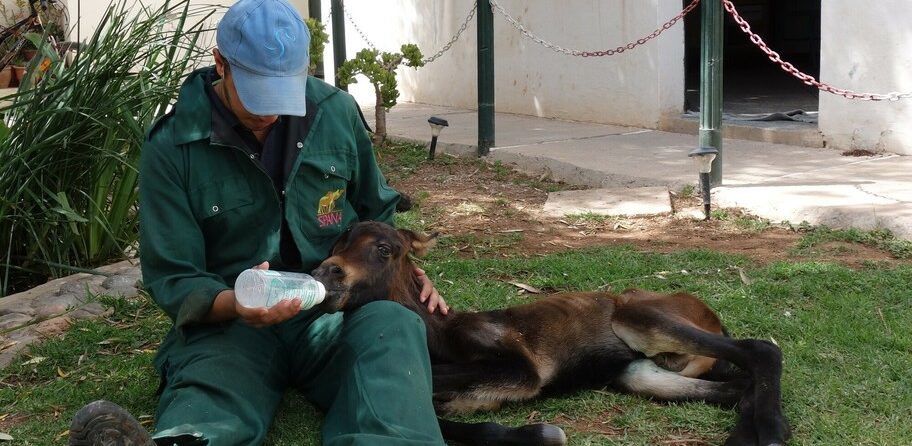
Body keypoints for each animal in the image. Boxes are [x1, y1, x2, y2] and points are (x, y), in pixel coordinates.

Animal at [314, 223, 792, 446]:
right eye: (339, 240)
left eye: (385, 249)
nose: (326, 272)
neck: (439, 337)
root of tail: (708, 312)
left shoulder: (520, 370)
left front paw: (543, 433)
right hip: (640, 372)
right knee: (736, 385)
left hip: (640, 317)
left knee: (761, 350)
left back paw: (770, 430)